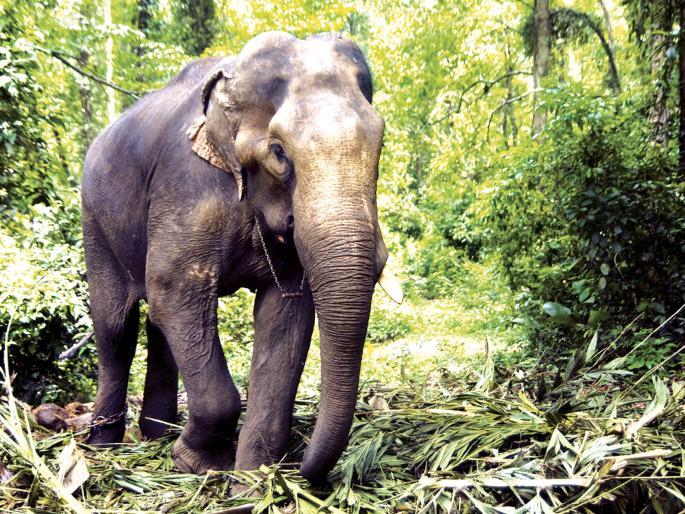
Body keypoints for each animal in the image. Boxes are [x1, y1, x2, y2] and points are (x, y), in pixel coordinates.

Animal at [81, 31, 402, 483]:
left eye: (381, 144)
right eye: (279, 151)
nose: (303, 467)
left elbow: (285, 314)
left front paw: (253, 484)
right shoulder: (187, 185)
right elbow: (174, 290)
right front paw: (197, 464)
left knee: (157, 325)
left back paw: (156, 435)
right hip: (94, 220)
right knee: (116, 328)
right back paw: (103, 447)